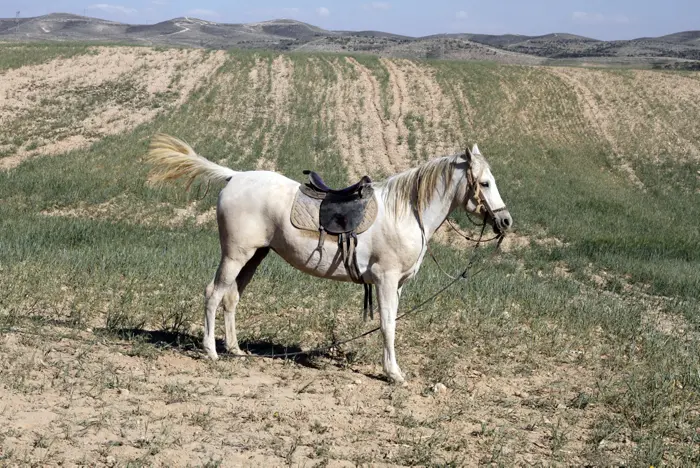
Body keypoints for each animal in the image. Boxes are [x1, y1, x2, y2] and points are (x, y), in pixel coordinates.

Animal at [144, 133, 516, 382]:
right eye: (484, 183)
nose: (506, 222)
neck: (406, 212)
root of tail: (234, 176)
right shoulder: (385, 280)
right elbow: (388, 325)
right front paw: (393, 374)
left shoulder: (397, 285)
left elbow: (391, 323)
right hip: (235, 255)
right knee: (213, 293)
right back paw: (211, 351)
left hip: (255, 257)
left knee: (232, 297)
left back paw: (235, 349)